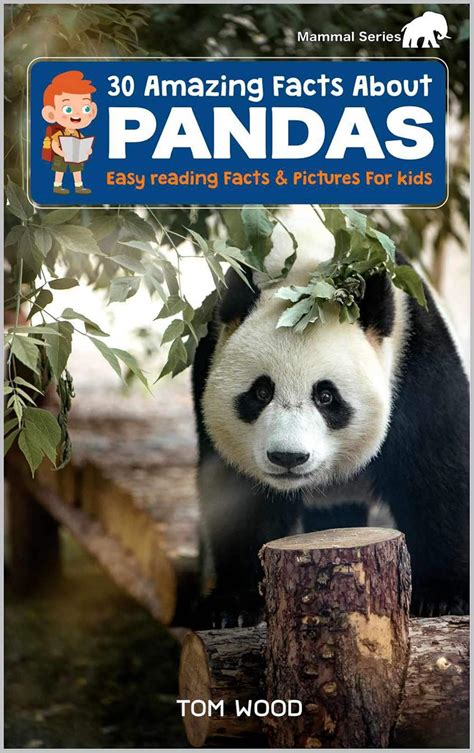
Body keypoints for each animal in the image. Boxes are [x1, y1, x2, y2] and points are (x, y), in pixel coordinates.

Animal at [191, 230, 469, 628]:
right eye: (261, 392)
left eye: (325, 396)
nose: (287, 457)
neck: (307, 266)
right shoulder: (209, 360)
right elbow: (239, 496)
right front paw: (232, 605)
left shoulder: (414, 355)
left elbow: (434, 472)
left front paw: (443, 594)